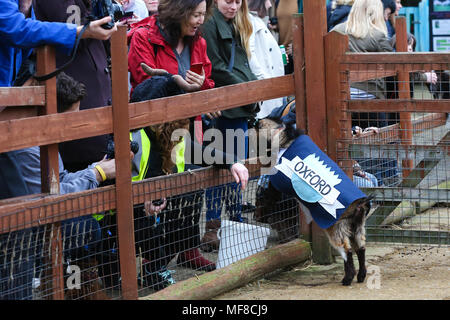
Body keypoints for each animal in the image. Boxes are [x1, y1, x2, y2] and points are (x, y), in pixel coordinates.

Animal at [255, 117, 374, 284]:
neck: (284, 138)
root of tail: (361, 204)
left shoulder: (277, 181)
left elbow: (272, 191)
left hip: (337, 228)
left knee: (347, 250)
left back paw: (347, 278)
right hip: (357, 226)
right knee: (361, 248)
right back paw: (361, 276)